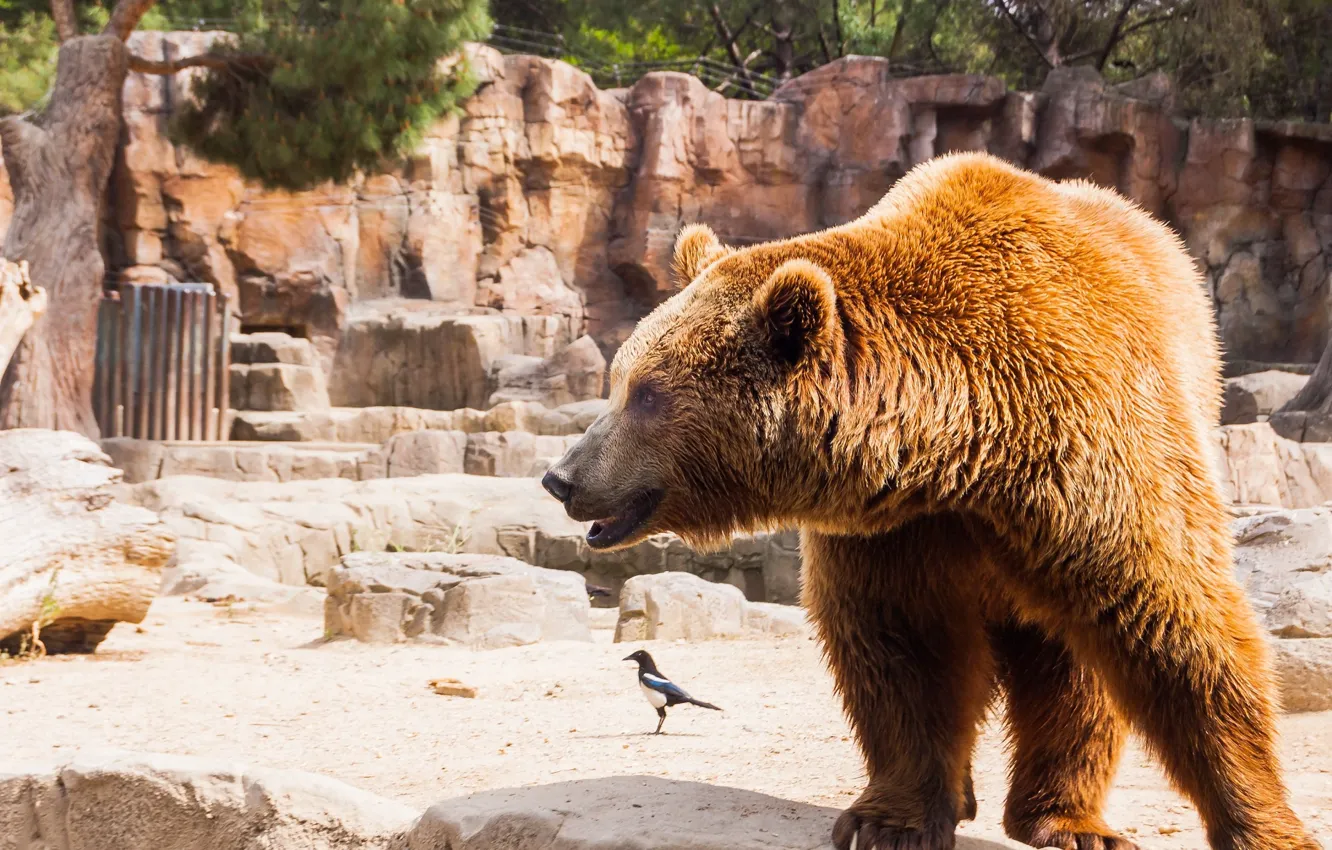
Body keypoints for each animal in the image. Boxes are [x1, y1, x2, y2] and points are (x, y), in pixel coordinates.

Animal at [543, 153, 1321, 850]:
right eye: (619, 380)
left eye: (646, 393)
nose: (562, 477)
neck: (964, 443)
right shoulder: (896, 525)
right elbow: (904, 647)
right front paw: (892, 822)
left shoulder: (1090, 459)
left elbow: (1174, 620)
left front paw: (1267, 826)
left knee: (1078, 666)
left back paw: (1068, 821)